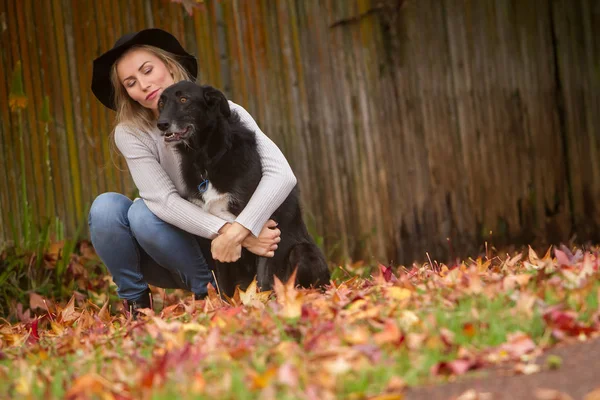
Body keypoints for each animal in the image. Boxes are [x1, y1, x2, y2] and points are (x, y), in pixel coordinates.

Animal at [157, 81, 330, 296]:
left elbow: (264, 277)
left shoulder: (266, 224)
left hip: (303, 252)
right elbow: (224, 284)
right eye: (161, 103)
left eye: (183, 99)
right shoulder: (218, 232)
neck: (207, 158)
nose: (161, 124)